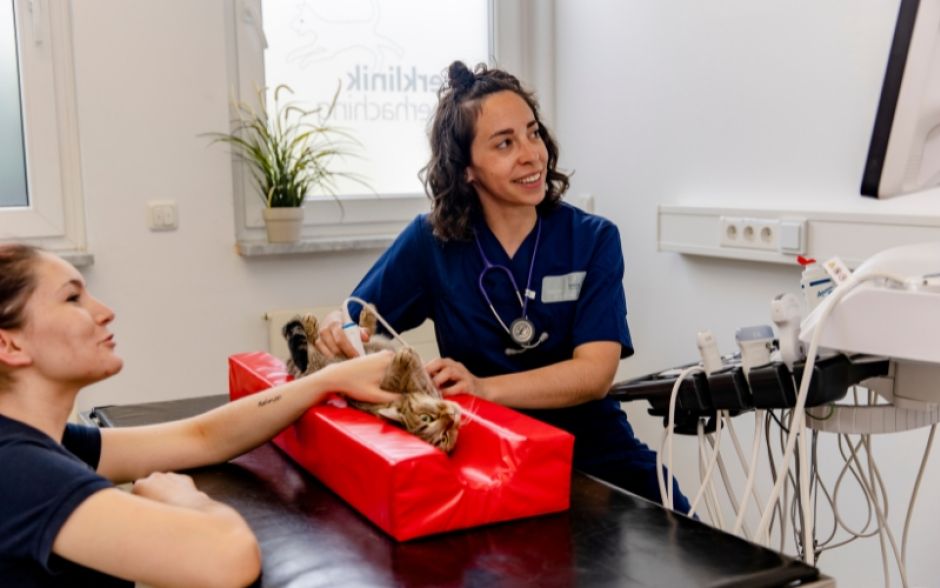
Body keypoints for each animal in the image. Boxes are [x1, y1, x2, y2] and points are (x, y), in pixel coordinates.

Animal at [284, 308, 464, 454]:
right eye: (427, 418)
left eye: (444, 438)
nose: (451, 417)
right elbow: (398, 376)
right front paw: (403, 359)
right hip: (317, 362)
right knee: (315, 347)